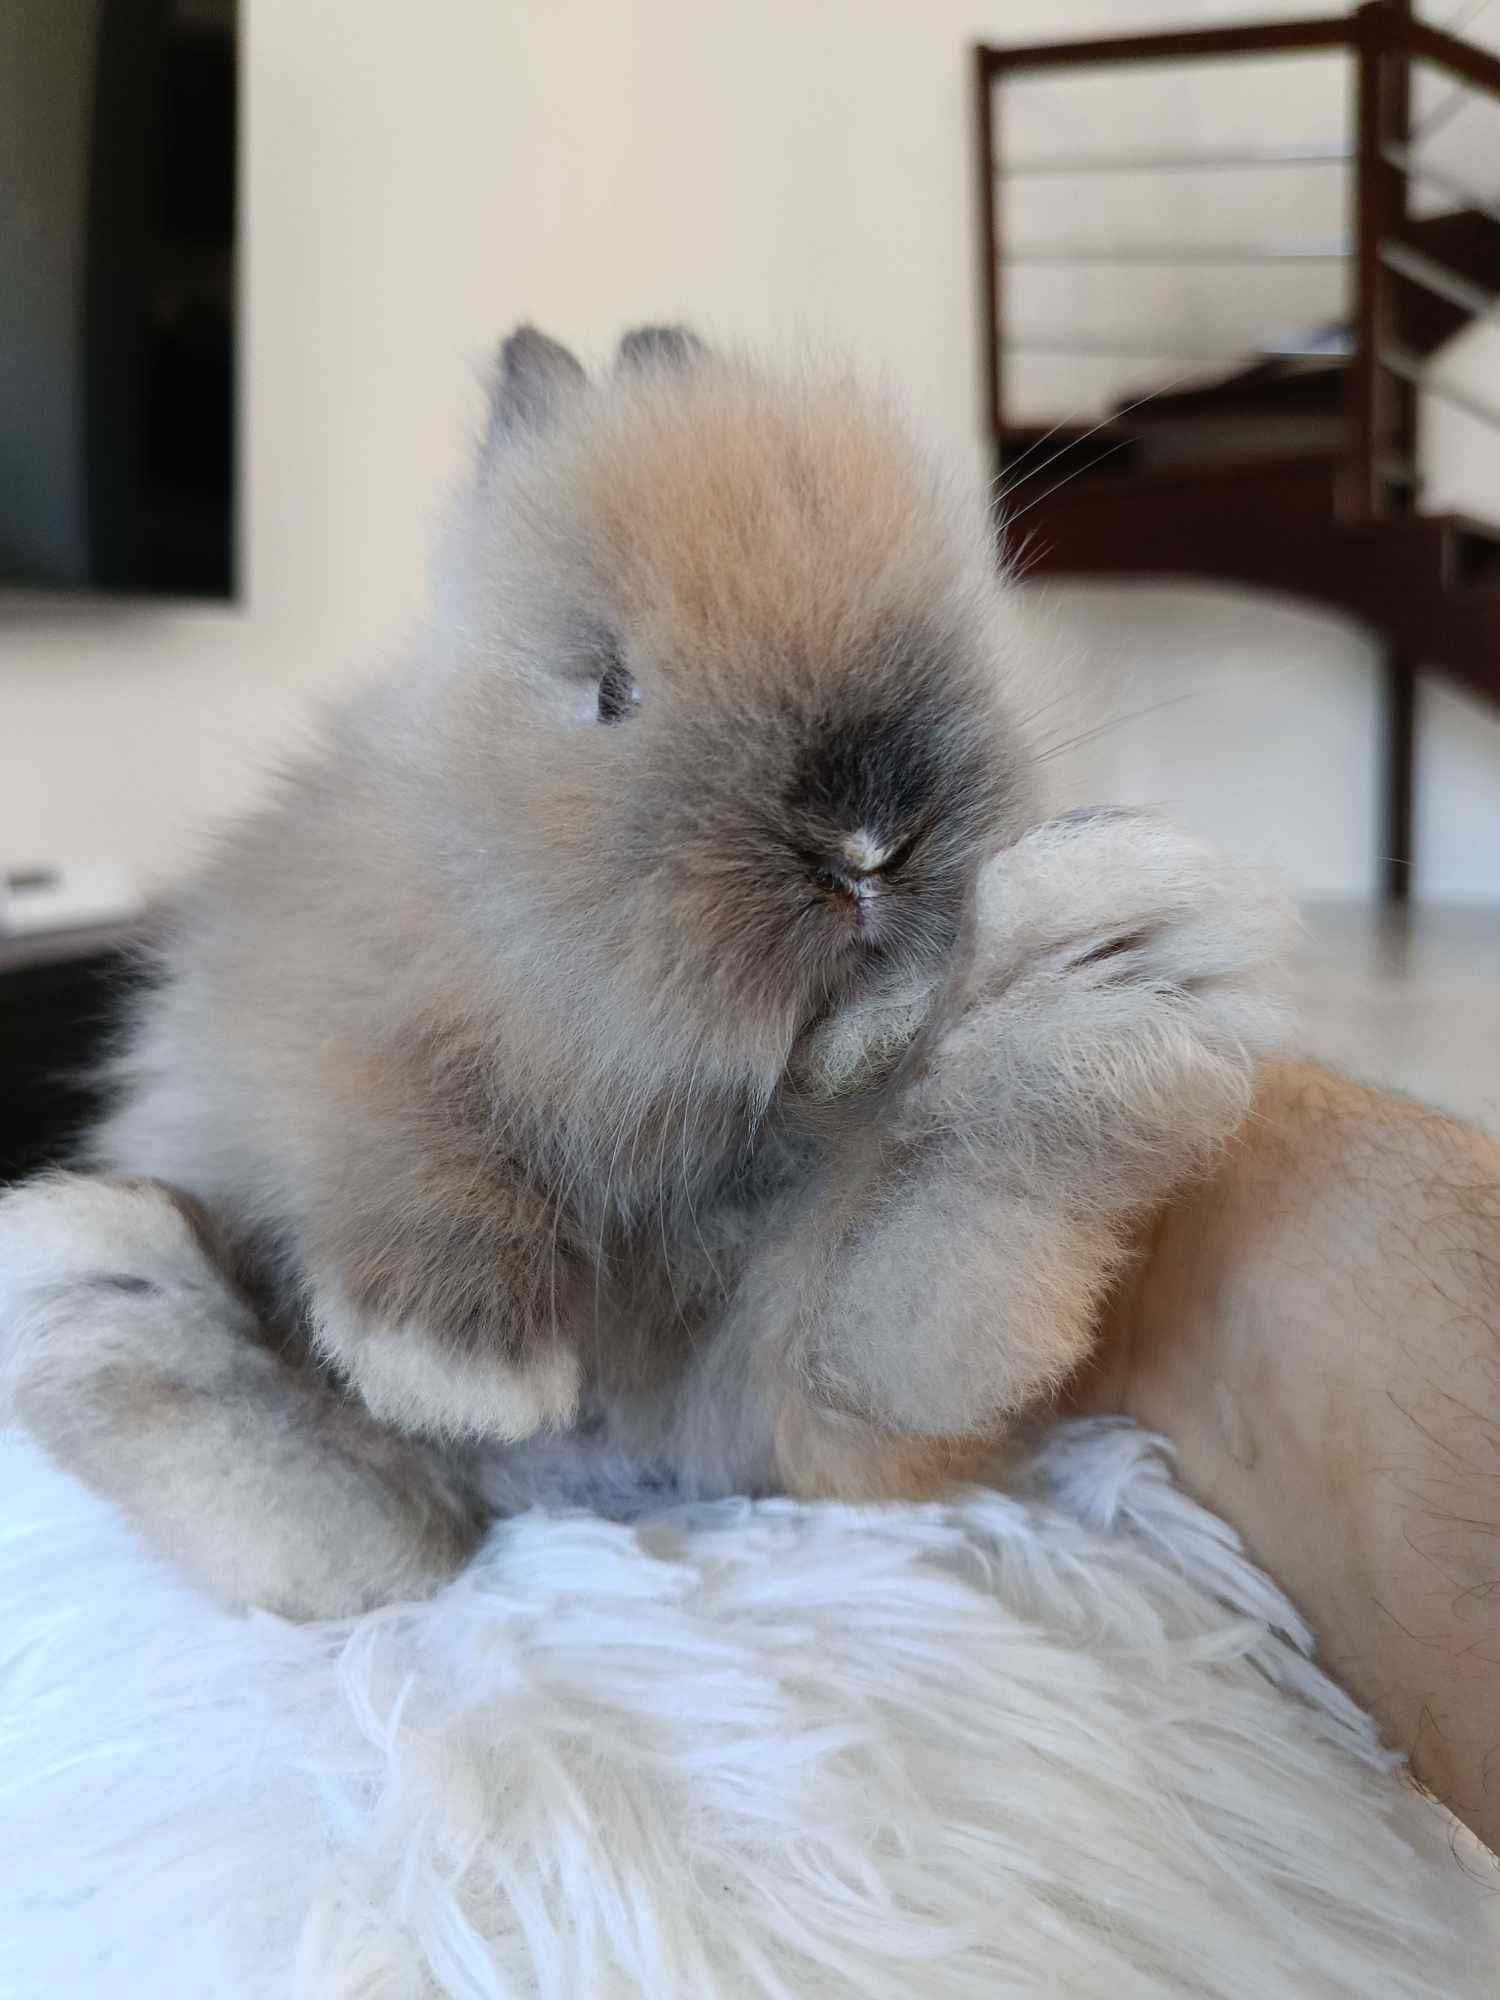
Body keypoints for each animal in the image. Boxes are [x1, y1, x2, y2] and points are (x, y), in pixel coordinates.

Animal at [0, 328, 1296, 1608]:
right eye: (610, 688)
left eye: (953, 634)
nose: (869, 841)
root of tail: (608, 1476)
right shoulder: (327, 1014)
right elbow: (400, 1137)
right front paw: (461, 1363)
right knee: (384, 1538)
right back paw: (104, 1289)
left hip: (798, 1390)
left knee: (887, 1324)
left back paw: (1099, 983)